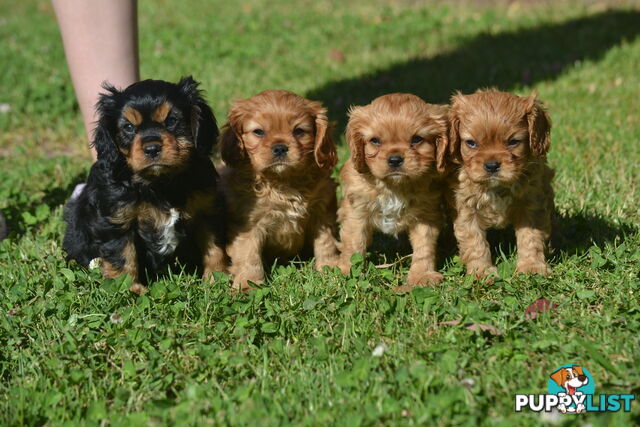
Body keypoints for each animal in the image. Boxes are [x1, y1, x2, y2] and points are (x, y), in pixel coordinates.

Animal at [63, 77, 228, 296]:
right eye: (128, 127)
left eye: (171, 121)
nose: (151, 148)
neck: (159, 183)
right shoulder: (117, 220)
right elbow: (123, 256)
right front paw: (130, 290)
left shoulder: (206, 210)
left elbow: (214, 247)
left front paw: (217, 279)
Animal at [220, 89, 340, 290]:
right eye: (258, 132)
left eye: (299, 131)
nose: (280, 148)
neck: (282, 181)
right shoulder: (247, 224)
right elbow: (248, 255)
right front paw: (248, 284)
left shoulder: (322, 212)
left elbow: (326, 242)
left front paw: (330, 269)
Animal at [338, 93, 448, 288]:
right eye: (375, 141)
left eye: (417, 139)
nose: (395, 159)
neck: (394, 187)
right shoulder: (356, 211)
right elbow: (354, 242)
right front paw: (346, 270)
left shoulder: (426, 215)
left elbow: (424, 247)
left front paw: (422, 276)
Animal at [444, 88, 556, 280]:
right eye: (471, 143)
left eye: (513, 142)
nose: (492, 165)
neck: (495, 188)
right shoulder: (466, 209)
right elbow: (475, 242)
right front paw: (481, 272)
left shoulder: (531, 205)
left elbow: (531, 237)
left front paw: (531, 267)